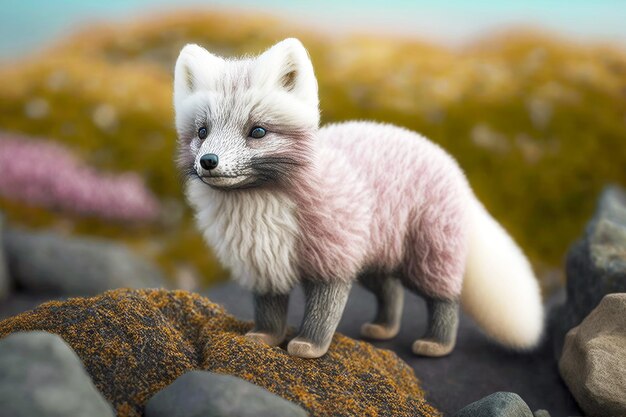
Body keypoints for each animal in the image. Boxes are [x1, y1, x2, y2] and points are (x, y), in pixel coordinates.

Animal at [173, 38, 544, 358]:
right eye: (202, 131)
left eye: (258, 131)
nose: (208, 161)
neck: (262, 208)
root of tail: (450, 164)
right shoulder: (264, 265)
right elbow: (269, 312)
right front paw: (264, 339)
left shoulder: (332, 261)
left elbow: (323, 313)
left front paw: (308, 346)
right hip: (374, 259)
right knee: (393, 292)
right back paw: (383, 329)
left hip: (428, 256)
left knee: (445, 300)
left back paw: (437, 344)